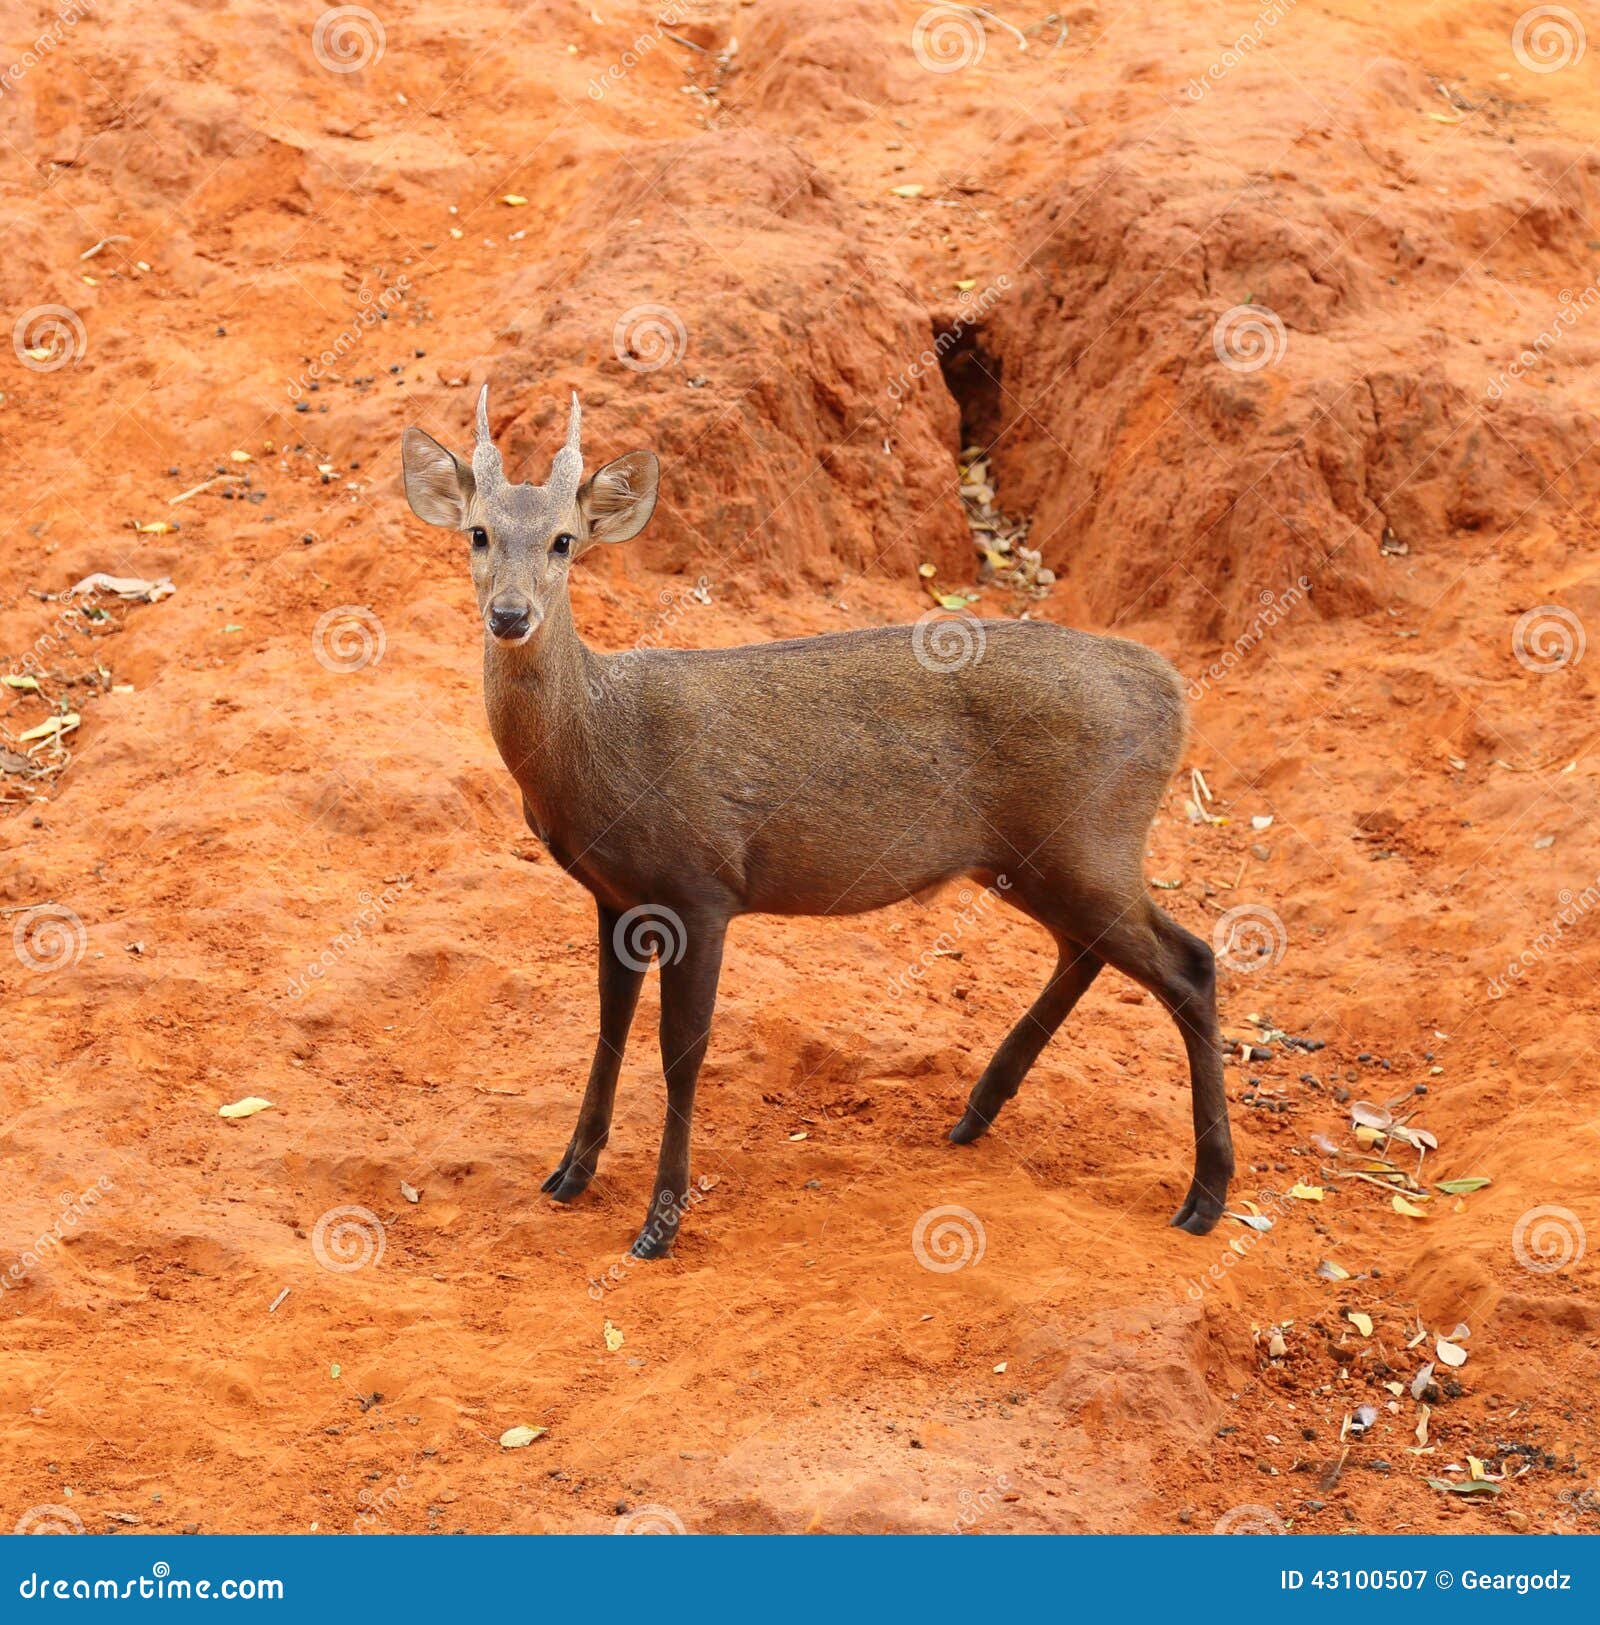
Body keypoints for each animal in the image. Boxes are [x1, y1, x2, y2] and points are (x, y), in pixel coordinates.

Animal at [400, 388, 1234, 1258]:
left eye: (564, 539)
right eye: (478, 532)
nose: (510, 614)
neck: (602, 745)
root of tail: (1172, 691)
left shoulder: (702, 885)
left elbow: (682, 1051)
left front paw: (659, 1222)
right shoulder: (616, 897)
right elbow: (607, 1031)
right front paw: (569, 1173)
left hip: (1087, 837)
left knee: (1191, 961)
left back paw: (1204, 1196)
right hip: (1040, 857)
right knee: (1091, 951)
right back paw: (976, 1113)